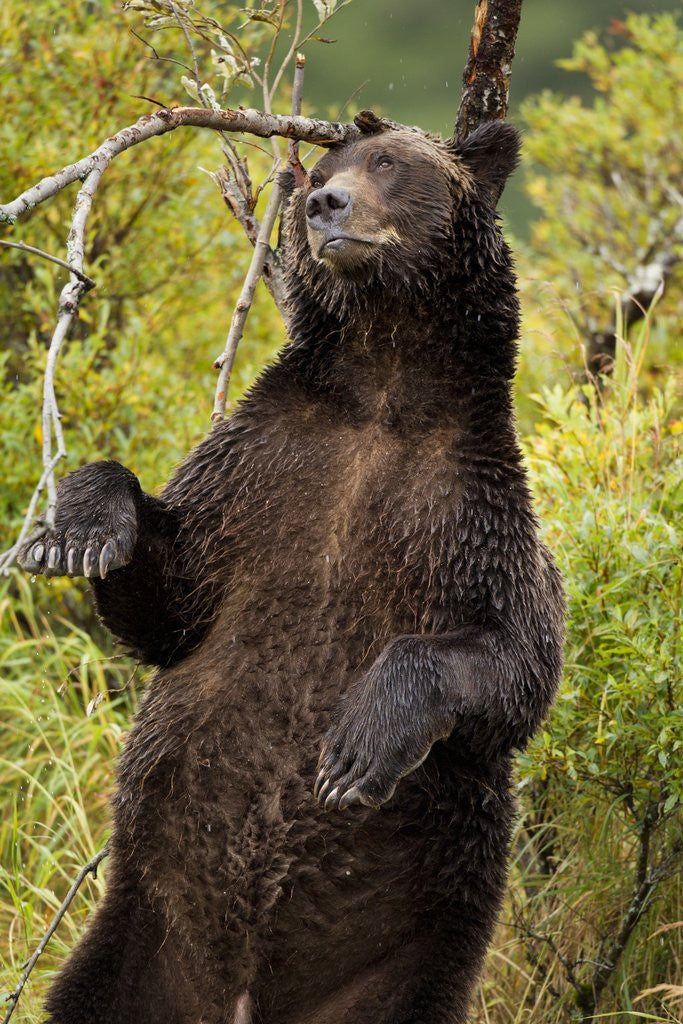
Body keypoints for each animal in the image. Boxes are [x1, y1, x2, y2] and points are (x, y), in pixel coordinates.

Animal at [19, 119, 565, 1024]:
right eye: (321, 168)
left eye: (389, 162)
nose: (324, 205)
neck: (383, 387)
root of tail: (239, 997)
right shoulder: (263, 473)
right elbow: (172, 601)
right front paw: (74, 534)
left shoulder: (470, 515)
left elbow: (514, 665)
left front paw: (356, 744)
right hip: (140, 934)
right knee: (88, 993)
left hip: (407, 960)